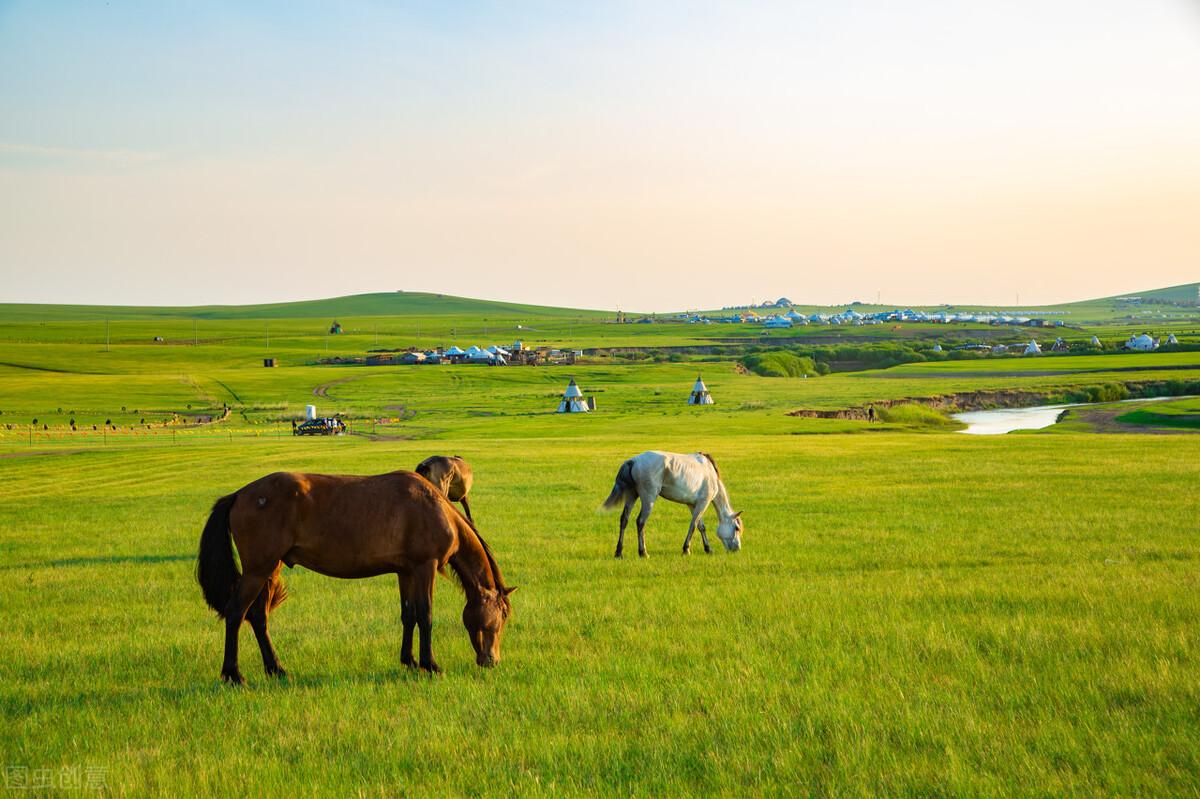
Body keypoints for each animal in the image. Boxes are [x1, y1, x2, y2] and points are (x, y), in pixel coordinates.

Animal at [195, 470, 511, 681]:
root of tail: (239, 495)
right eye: (501, 619)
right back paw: (234, 675)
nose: (492, 660)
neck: (435, 508)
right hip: (257, 571)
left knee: (259, 617)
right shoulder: (425, 567)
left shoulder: (406, 571)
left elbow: (408, 616)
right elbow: (426, 616)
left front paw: (408, 660)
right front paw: (429, 664)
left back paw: (276, 669)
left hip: (269, 570)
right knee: (236, 613)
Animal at [600, 448, 739, 554]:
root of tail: (633, 461)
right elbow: (694, 525)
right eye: (737, 528)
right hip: (648, 498)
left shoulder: (692, 504)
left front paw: (708, 549)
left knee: (624, 519)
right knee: (640, 521)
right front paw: (686, 549)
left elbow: (700, 526)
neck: (710, 472)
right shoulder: (703, 503)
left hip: (631, 495)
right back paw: (643, 552)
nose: (737, 548)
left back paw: (619, 552)